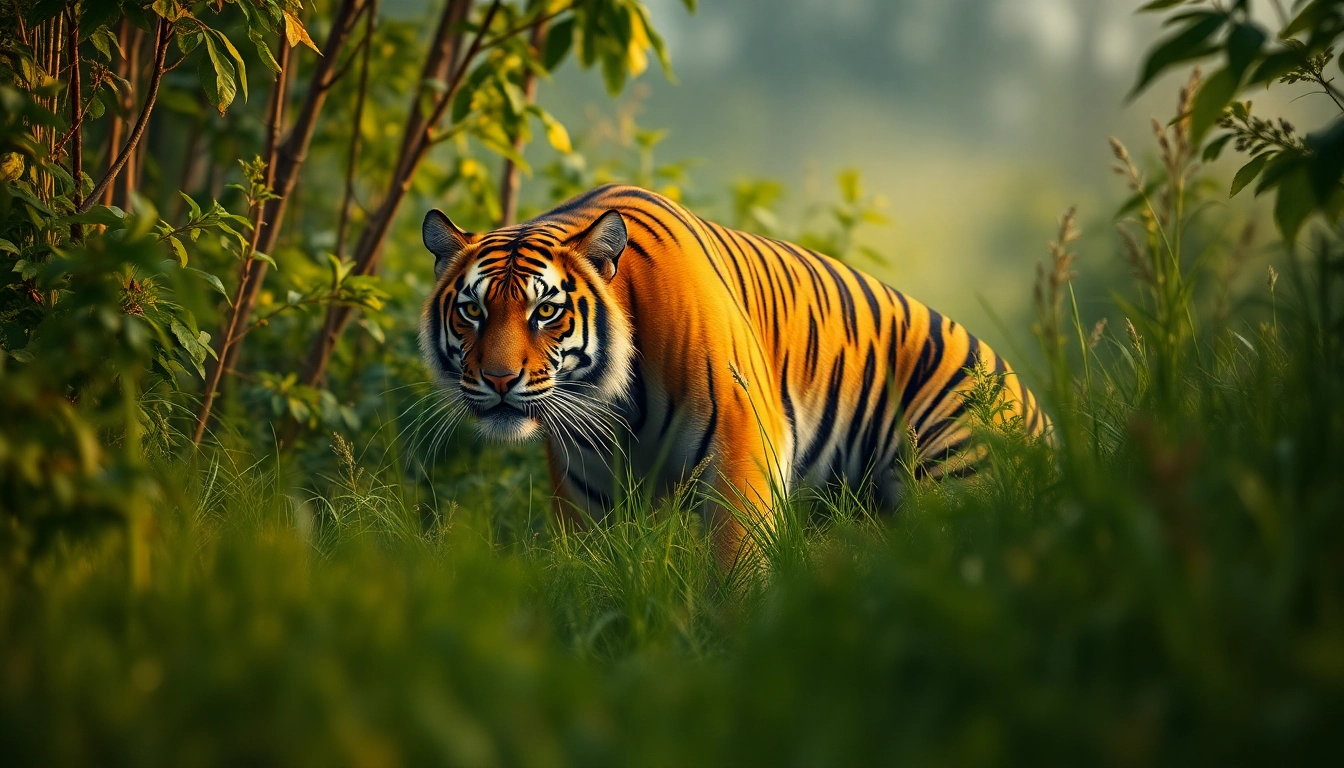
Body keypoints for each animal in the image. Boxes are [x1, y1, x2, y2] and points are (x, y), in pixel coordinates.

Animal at [420, 183, 1047, 570]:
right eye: (472, 310)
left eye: (545, 311)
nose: (500, 379)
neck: (611, 404)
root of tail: (1034, 403)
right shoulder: (585, 483)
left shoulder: (742, 445)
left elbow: (735, 567)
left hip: (957, 483)